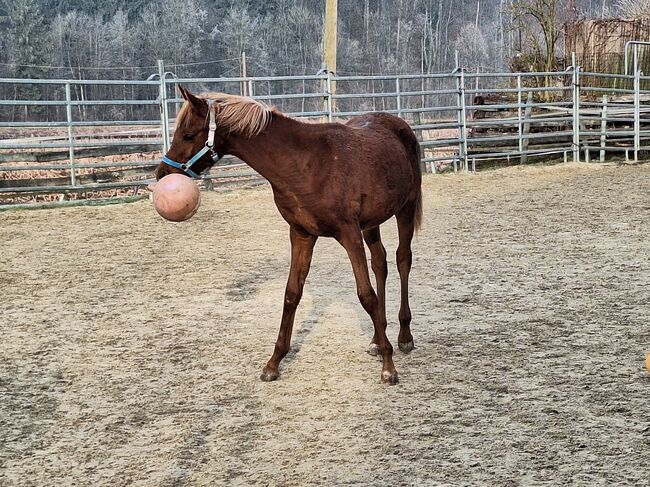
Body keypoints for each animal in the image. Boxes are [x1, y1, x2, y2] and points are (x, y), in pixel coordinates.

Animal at [154, 87, 422, 386]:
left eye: (188, 135)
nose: (162, 173)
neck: (307, 164)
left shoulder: (349, 234)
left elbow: (366, 295)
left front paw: (389, 366)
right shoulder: (301, 234)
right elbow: (292, 293)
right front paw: (274, 362)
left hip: (406, 208)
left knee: (402, 260)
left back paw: (403, 336)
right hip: (371, 223)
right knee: (380, 263)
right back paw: (377, 337)